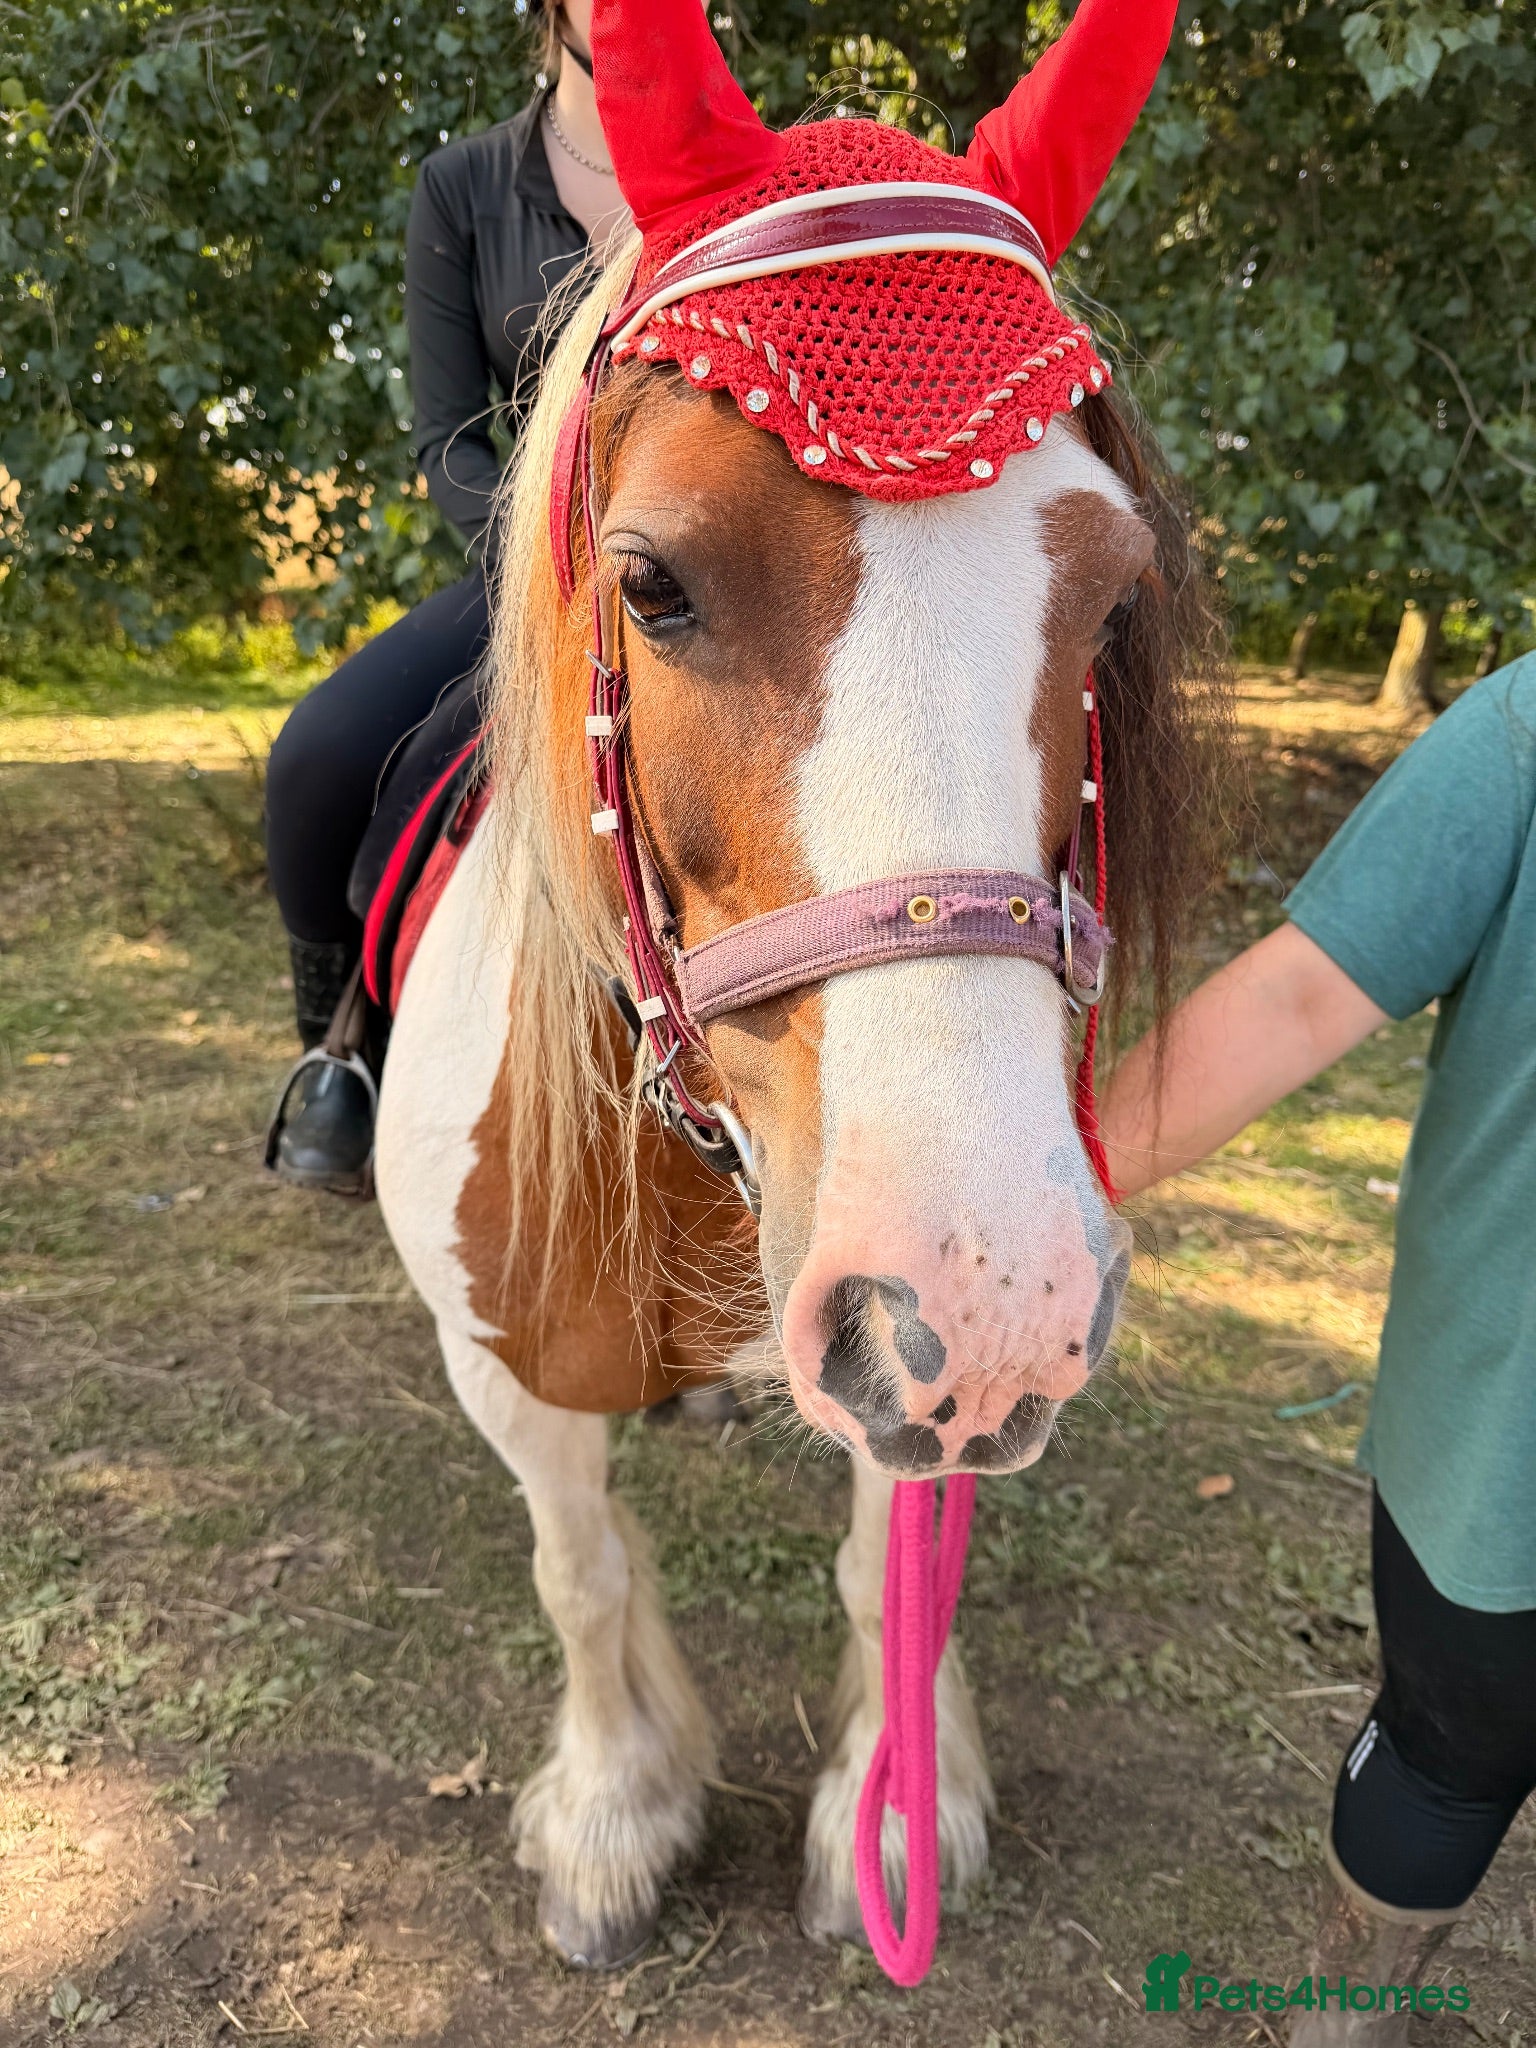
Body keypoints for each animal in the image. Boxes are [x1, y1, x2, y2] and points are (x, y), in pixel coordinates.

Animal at [373, 0, 1226, 1972]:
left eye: (1113, 599)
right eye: (652, 580)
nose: (987, 1294)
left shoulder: (908, 1374)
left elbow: (876, 1567)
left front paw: (892, 1813)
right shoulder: (502, 1370)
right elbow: (582, 1565)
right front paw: (614, 1814)